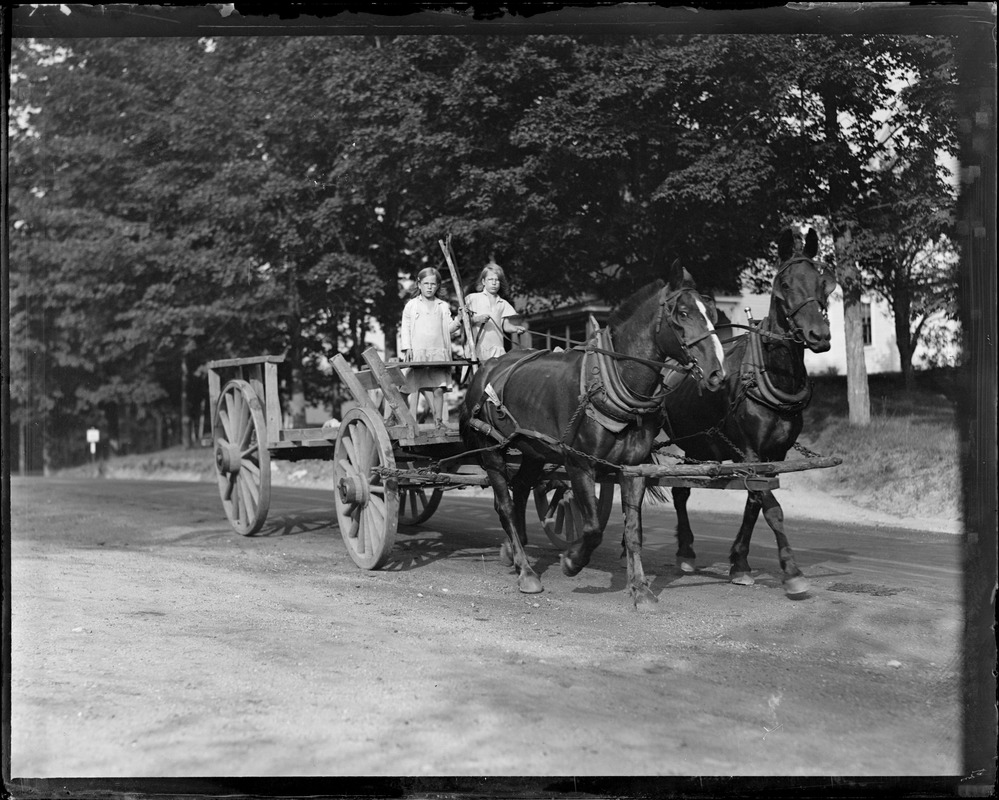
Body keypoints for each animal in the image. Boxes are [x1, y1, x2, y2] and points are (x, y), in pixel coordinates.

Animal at [460, 260, 728, 608]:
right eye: (682, 313)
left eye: (712, 312)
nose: (717, 373)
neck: (612, 381)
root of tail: (486, 368)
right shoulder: (578, 463)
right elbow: (592, 527)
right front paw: (572, 561)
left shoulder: (634, 468)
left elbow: (633, 530)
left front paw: (640, 589)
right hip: (491, 448)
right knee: (504, 504)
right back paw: (526, 572)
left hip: (533, 450)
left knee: (519, 491)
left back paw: (517, 557)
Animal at [664, 228, 836, 596]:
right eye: (785, 283)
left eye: (822, 282)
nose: (819, 335)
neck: (769, 373)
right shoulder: (750, 451)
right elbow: (772, 508)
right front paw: (792, 571)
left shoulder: (776, 455)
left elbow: (755, 504)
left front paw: (739, 563)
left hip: (697, 445)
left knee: (681, 489)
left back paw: (686, 550)